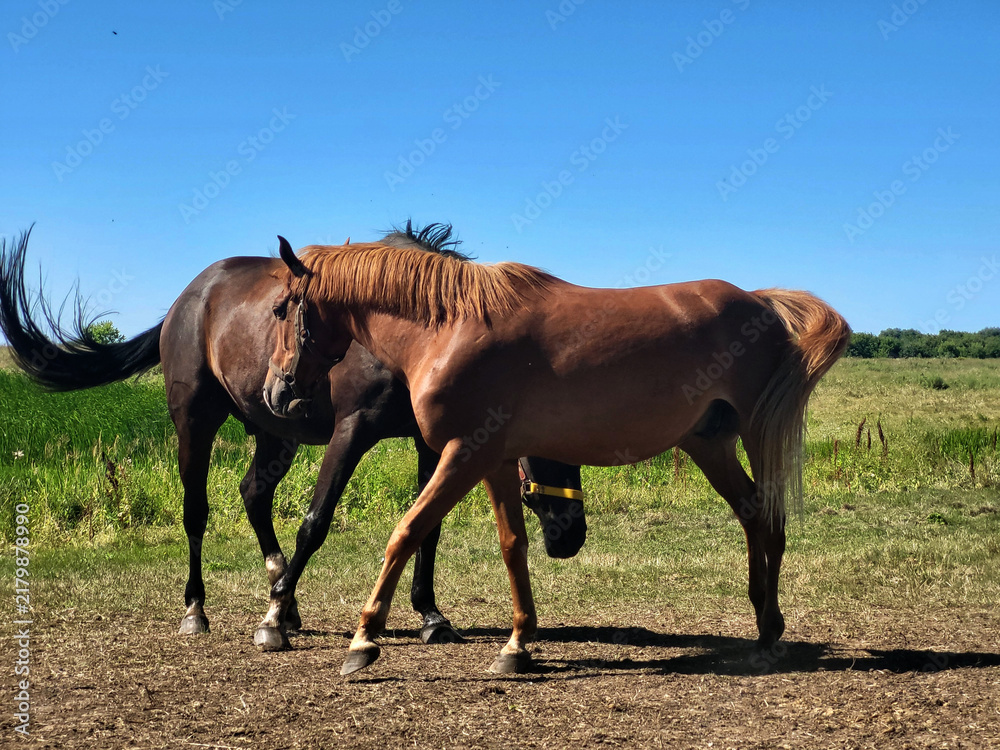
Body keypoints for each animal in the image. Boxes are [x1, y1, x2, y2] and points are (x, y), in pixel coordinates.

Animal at [0, 223, 587, 650]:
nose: (572, 537)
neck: (409, 335)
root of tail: (188, 297)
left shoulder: (433, 444)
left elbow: (428, 526)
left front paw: (431, 615)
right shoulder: (351, 430)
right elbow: (316, 520)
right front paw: (271, 621)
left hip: (273, 433)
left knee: (254, 495)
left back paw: (284, 593)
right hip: (195, 422)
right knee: (197, 511)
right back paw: (200, 609)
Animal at [263, 235, 851, 675]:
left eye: (280, 309)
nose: (277, 392)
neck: (448, 329)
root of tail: (763, 302)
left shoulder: (464, 455)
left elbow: (406, 532)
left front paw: (364, 638)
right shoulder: (496, 462)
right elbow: (513, 546)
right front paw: (518, 643)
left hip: (753, 433)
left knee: (769, 520)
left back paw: (770, 632)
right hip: (709, 443)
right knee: (754, 516)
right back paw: (765, 626)